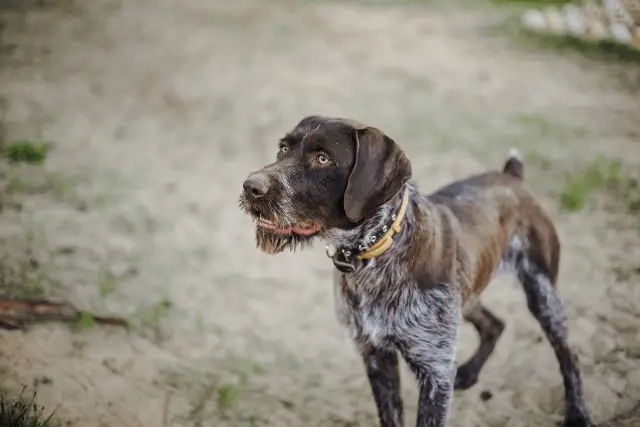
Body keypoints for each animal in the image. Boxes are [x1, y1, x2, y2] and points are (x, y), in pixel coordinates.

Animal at [240, 116, 596, 427]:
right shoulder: (377, 356)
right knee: (495, 324)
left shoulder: (435, 371)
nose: (250, 187)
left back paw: (578, 414)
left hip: (542, 293)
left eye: (323, 158)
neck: (375, 251)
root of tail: (513, 177)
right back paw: (469, 372)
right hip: (466, 296)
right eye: (283, 148)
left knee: (569, 356)